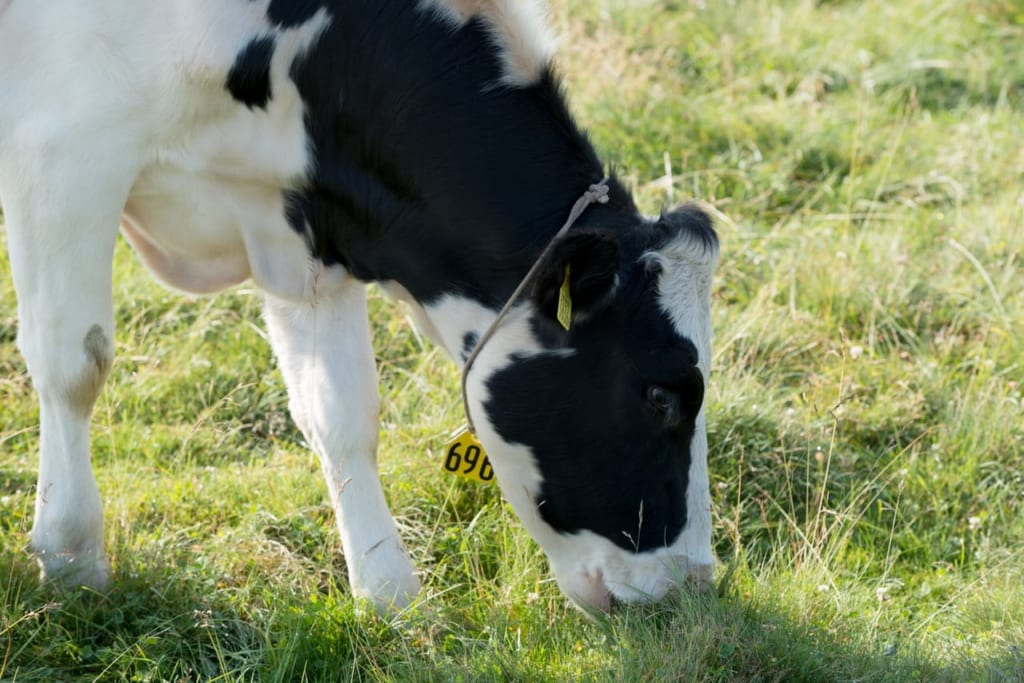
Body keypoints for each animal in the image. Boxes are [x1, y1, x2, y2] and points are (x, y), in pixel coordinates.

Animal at [0, 0, 720, 618]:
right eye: (661, 396)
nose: (691, 584)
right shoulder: (63, 154)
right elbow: (76, 364)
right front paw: (70, 557)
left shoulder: (308, 226)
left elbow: (341, 412)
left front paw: (387, 590)